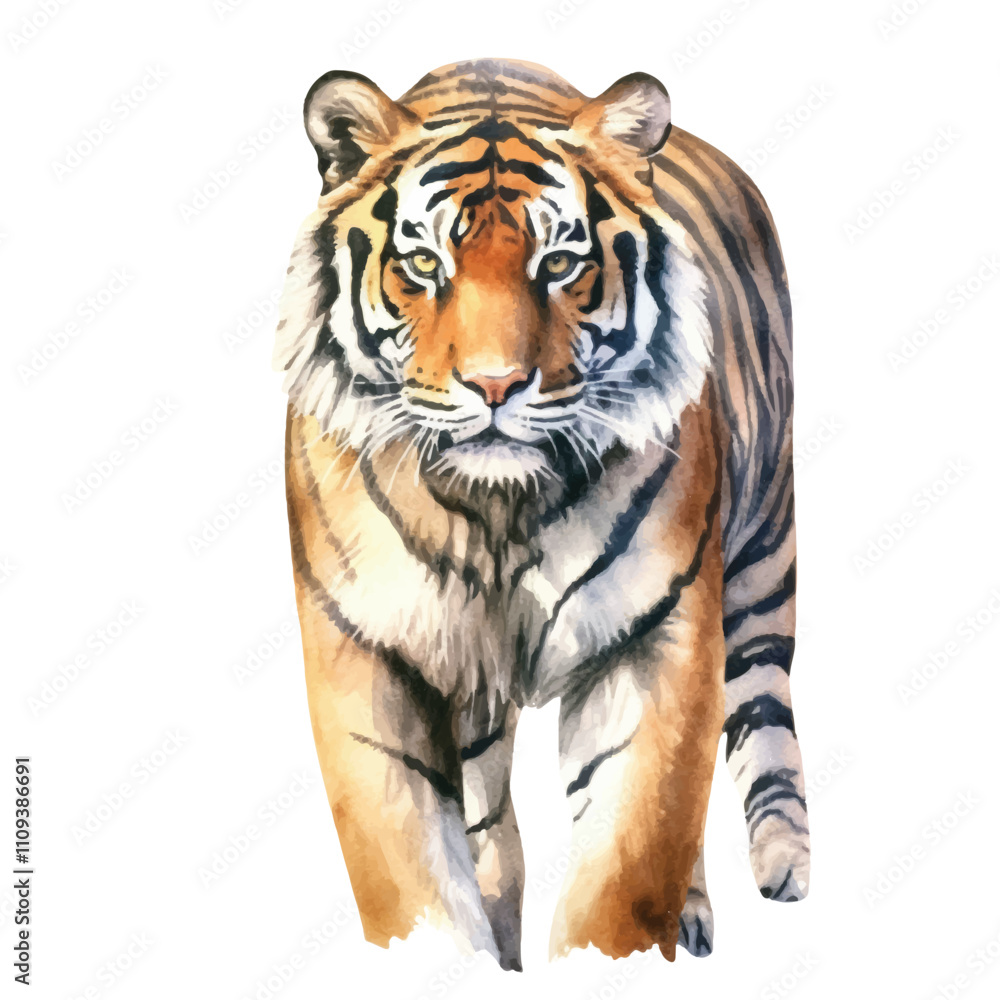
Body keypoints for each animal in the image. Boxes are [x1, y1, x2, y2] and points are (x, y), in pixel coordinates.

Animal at [275, 58, 810, 970]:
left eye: (559, 262)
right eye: (424, 261)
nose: (495, 385)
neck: (492, 511)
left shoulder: (655, 636)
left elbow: (633, 859)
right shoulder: (365, 643)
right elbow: (413, 871)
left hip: (762, 557)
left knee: (762, 705)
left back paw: (777, 872)